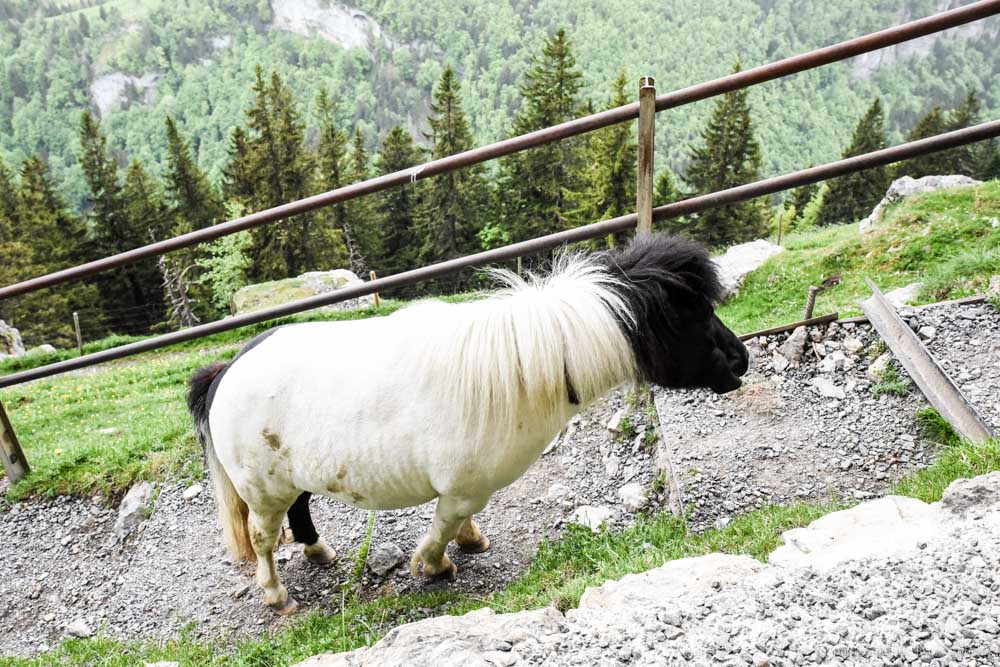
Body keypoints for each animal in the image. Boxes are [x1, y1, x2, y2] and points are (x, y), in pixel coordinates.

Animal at [189, 232, 752, 612]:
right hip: (263, 491)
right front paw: (435, 565)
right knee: (264, 538)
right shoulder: (465, 489)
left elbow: (455, 520)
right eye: (695, 315)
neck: (523, 369)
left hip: (291, 476)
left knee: (301, 508)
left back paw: (319, 552)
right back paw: (276, 595)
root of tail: (228, 369)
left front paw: (470, 541)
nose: (742, 359)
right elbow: (442, 526)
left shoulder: (461, 487)